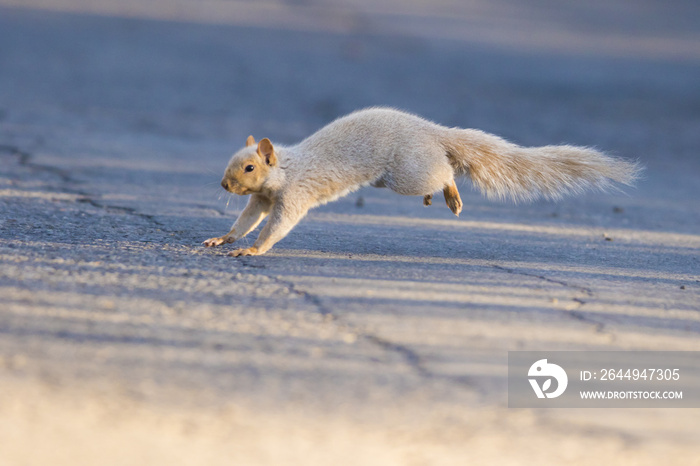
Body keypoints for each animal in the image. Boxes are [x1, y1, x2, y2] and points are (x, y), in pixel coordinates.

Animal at [202, 107, 640, 256]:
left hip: (406, 172)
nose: (223, 186)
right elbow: (247, 219)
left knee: (446, 170)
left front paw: (253, 250)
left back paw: (451, 195)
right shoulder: (261, 199)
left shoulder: (294, 193)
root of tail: (431, 131)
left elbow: (278, 224)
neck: (287, 168)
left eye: (249, 168)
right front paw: (224, 238)